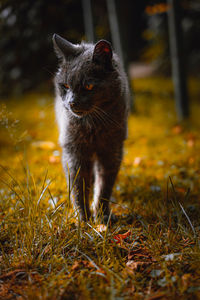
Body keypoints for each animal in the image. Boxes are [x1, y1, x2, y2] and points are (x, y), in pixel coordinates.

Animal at [52, 34, 129, 223]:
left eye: (88, 86)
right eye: (65, 86)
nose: (72, 102)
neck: (93, 126)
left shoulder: (112, 150)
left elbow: (105, 185)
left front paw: (102, 215)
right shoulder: (74, 151)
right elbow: (78, 185)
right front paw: (83, 218)